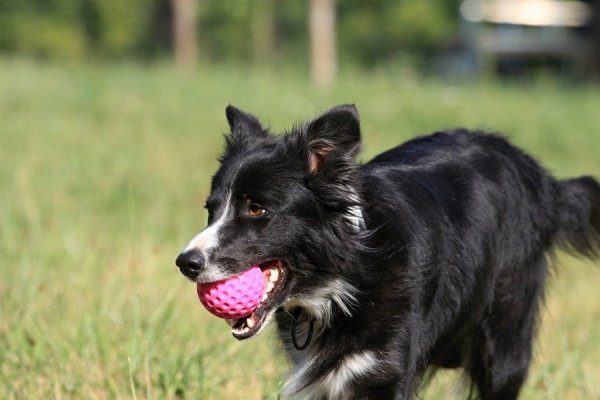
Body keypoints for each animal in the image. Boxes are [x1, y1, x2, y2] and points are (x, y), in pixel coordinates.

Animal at [175, 105, 600, 400]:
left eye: (256, 209)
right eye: (211, 208)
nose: (185, 263)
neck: (340, 282)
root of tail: (536, 173)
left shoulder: (383, 372)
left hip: (504, 342)